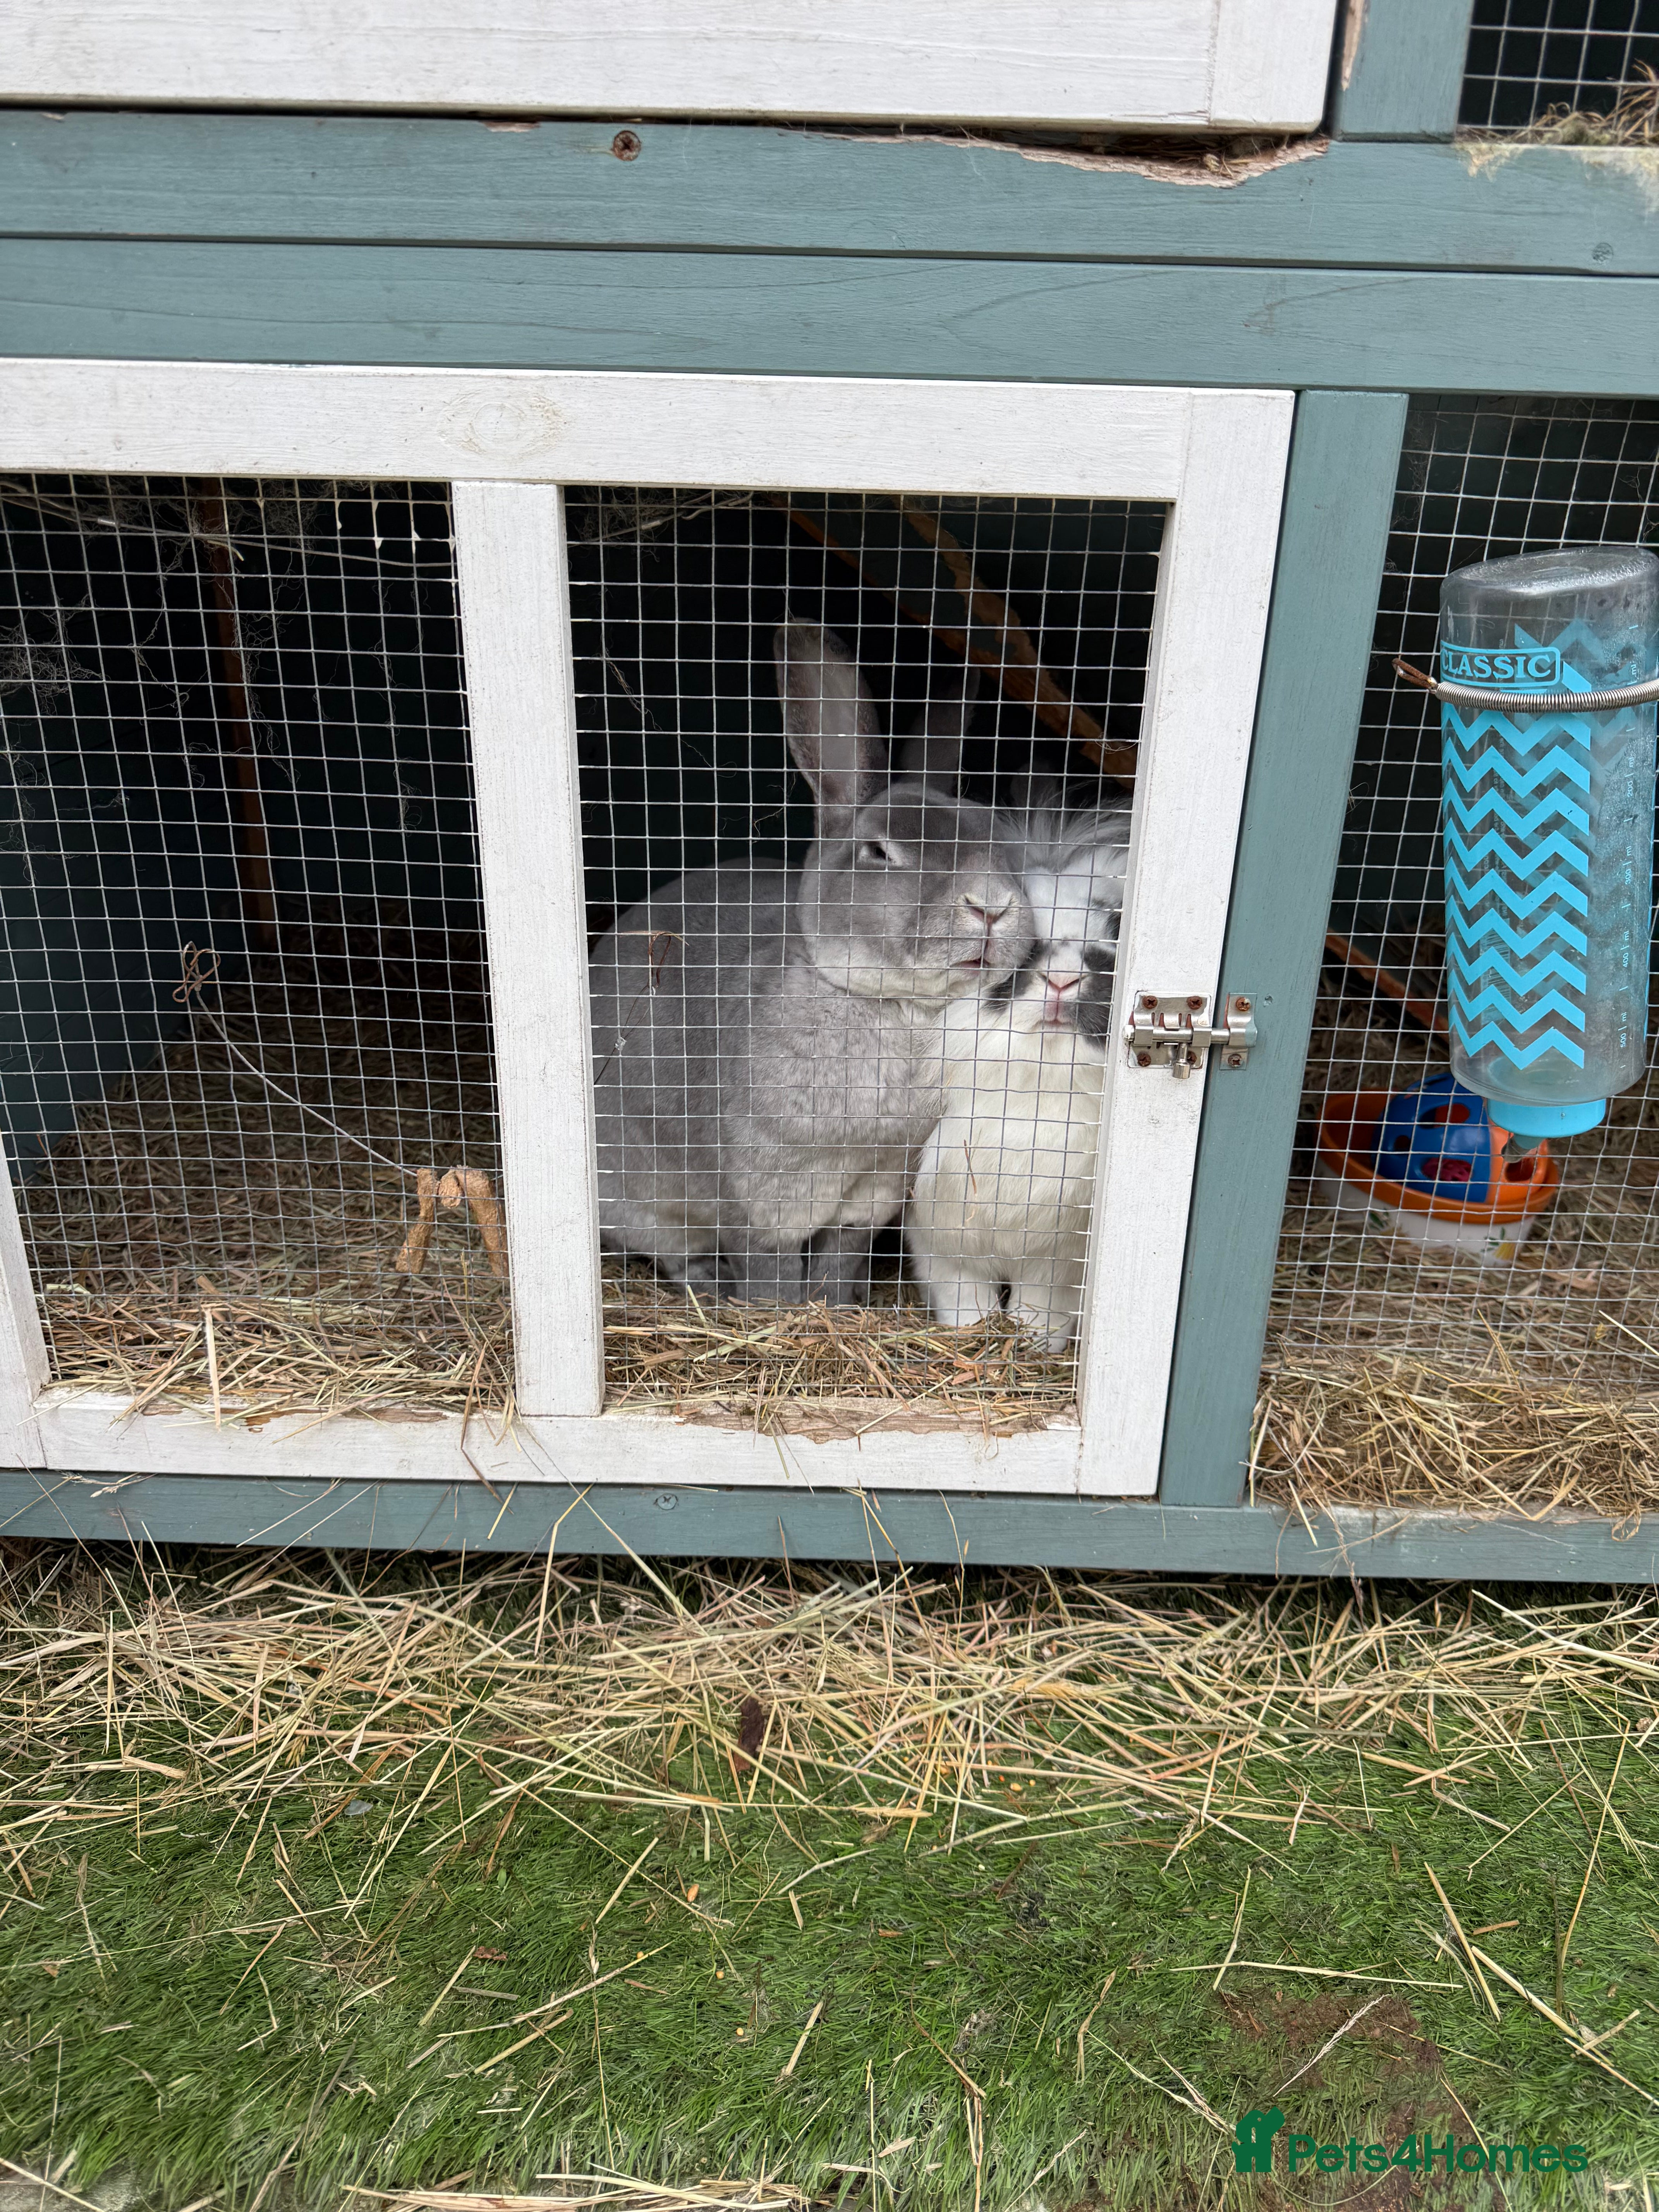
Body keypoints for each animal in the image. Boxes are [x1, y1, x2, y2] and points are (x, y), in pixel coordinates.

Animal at [588, 623, 1035, 1305]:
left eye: (997, 838)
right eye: (880, 852)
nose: (992, 904)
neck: (897, 1007)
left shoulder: (873, 1187)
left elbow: (840, 1256)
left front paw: (837, 1306)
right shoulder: (761, 1188)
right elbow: (769, 1262)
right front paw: (775, 1310)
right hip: (635, 1199)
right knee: (670, 1249)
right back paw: (710, 1283)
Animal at [904, 805, 1130, 1348]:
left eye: (1103, 952)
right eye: (1028, 950)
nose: (1063, 982)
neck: (1038, 1077)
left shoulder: (1058, 1259)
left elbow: (1043, 1305)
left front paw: (1035, 1343)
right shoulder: (941, 1237)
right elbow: (963, 1294)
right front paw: (971, 1331)